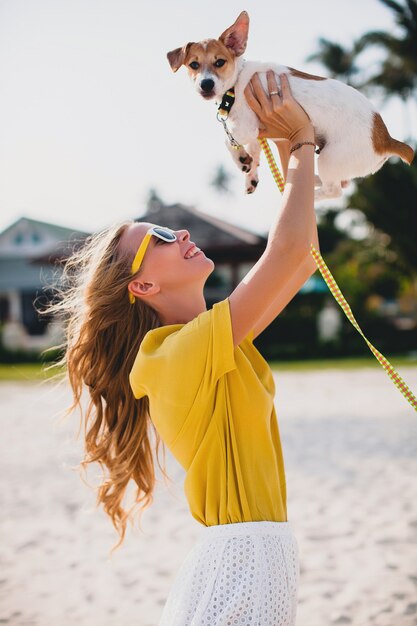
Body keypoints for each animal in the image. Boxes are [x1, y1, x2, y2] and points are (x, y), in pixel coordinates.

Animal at [166, 11, 412, 199]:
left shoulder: (246, 127)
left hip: (331, 158)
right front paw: (250, 174)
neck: (235, 84)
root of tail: (385, 139)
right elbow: (255, 151)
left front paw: (241, 159)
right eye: (194, 65)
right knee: (343, 184)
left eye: (220, 62)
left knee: (334, 191)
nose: (206, 84)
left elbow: (228, 140)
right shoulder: (255, 132)